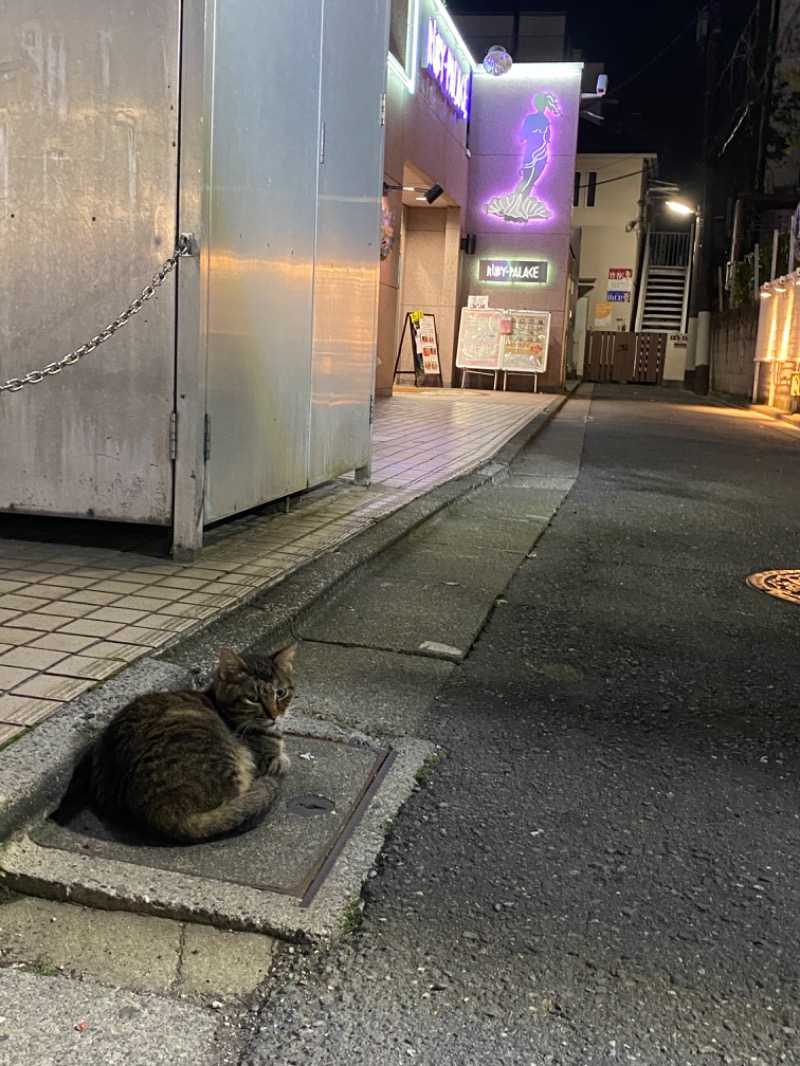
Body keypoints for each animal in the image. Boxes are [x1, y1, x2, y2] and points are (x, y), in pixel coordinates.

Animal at [90, 643, 298, 844]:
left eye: (280, 693)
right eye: (253, 699)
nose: (275, 715)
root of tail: (168, 819)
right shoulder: (266, 761)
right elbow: (283, 761)